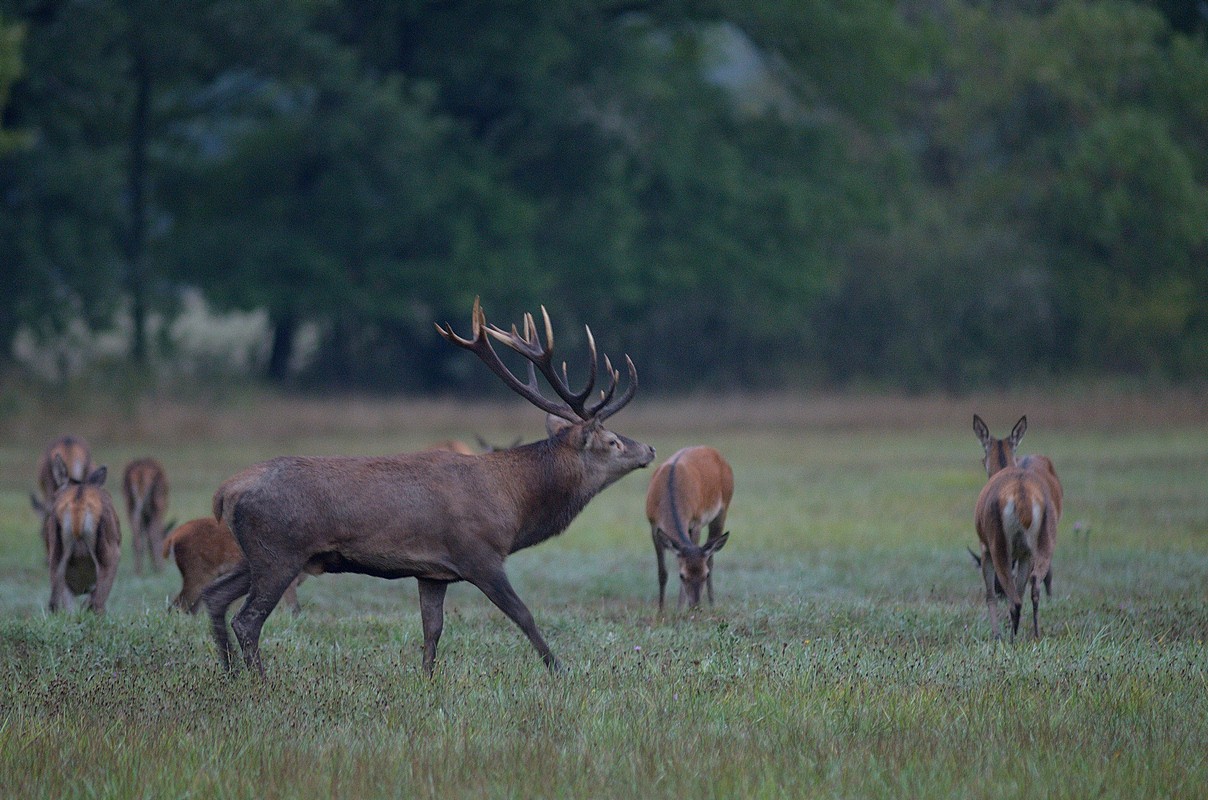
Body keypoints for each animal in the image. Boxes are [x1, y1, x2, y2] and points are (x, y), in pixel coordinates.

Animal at [200, 299, 652, 676]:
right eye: (612, 441)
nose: (648, 448)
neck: (513, 503)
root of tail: (225, 491)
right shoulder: (478, 553)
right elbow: (523, 615)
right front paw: (560, 670)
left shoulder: (433, 571)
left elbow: (432, 629)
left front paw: (427, 678)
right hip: (279, 550)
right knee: (247, 619)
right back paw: (259, 680)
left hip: (257, 553)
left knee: (214, 596)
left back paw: (229, 674)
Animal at [647, 447, 729, 611]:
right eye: (682, 575)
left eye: (705, 575)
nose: (695, 605)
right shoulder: (653, 525)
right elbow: (662, 573)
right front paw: (660, 610)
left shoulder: (696, 521)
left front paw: (679, 608)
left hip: (723, 509)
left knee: (711, 558)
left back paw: (712, 603)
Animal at [971, 415, 1058, 642]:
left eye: (984, 454)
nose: (982, 462)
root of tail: (1022, 496)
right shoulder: (1024, 553)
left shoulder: (984, 546)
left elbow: (990, 595)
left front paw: (996, 634)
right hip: (1045, 537)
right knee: (1034, 584)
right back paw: (1035, 634)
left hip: (998, 541)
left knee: (1014, 598)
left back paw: (1008, 638)